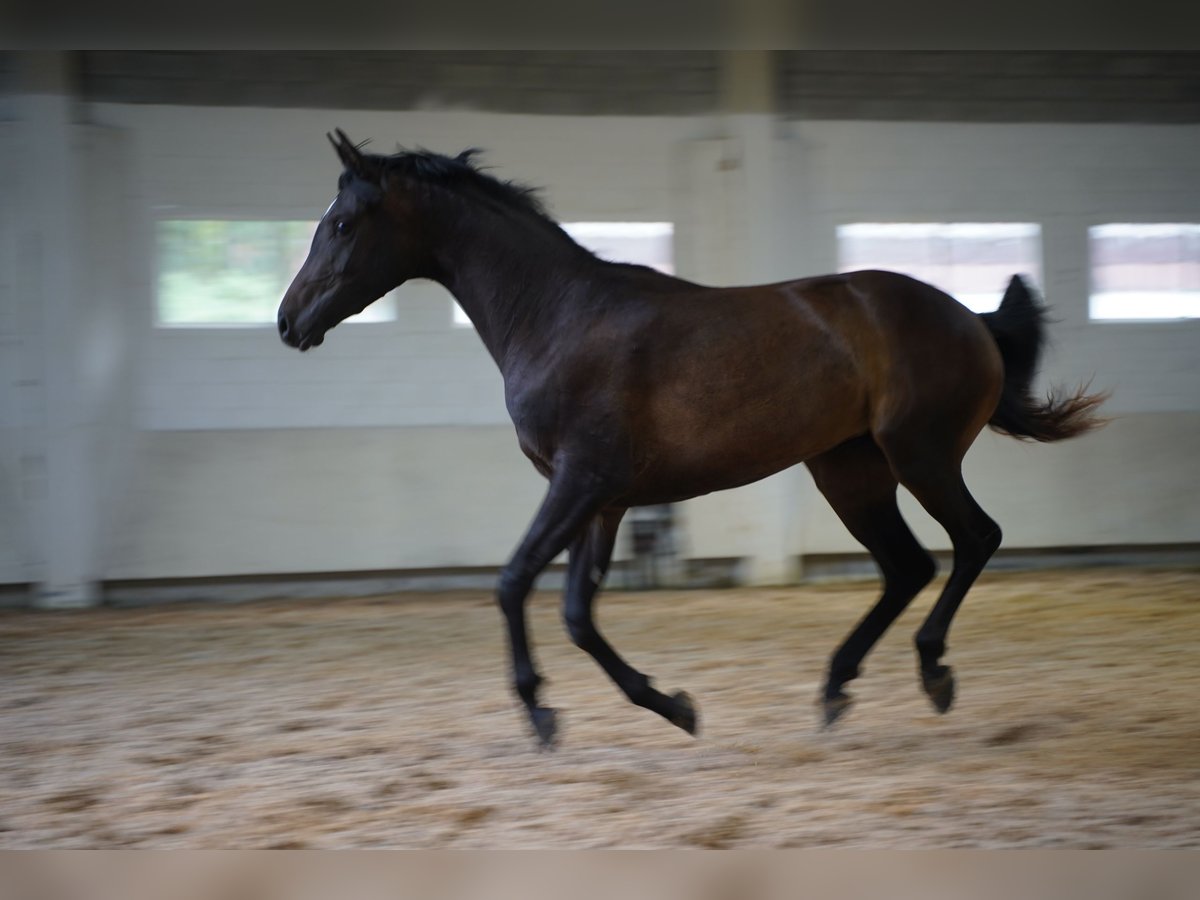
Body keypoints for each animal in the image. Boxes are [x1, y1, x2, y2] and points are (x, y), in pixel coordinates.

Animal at [276, 128, 1099, 748]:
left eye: (342, 223)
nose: (288, 321)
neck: (558, 315)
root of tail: (972, 320)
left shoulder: (579, 481)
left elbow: (513, 583)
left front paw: (542, 713)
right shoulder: (602, 500)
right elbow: (578, 614)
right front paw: (672, 704)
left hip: (920, 456)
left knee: (974, 539)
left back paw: (932, 673)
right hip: (850, 472)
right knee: (908, 566)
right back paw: (835, 690)